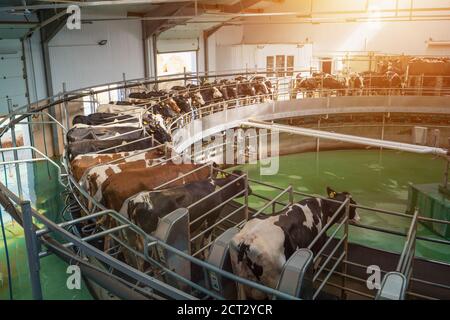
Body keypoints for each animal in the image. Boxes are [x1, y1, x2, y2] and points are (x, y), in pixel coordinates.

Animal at [230, 188, 360, 300]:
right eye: (354, 204)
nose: (359, 218)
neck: (323, 209)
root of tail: (247, 240)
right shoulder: (317, 251)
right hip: (273, 281)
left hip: (239, 280)